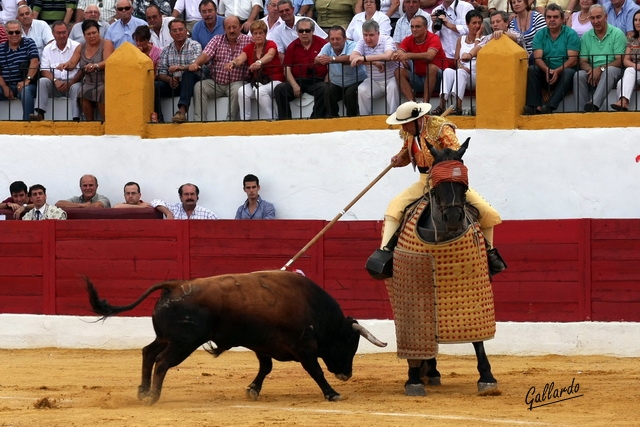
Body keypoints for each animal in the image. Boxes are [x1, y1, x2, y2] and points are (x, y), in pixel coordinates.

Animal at [84, 270, 384, 404]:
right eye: (349, 344)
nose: (346, 375)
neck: (313, 307)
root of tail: (175, 285)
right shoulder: (304, 348)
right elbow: (316, 371)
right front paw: (332, 393)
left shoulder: (264, 345)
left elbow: (265, 368)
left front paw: (252, 389)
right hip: (183, 343)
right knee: (163, 362)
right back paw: (153, 396)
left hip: (167, 337)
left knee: (148, 353)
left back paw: (143, 390)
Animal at [384, 140, 500, 398]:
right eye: (437, 186)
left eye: (463, 185)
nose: (454, 218)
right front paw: (413, 379)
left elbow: (478, 339)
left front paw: (487, 378)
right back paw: (423, 371)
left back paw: (432, 371)